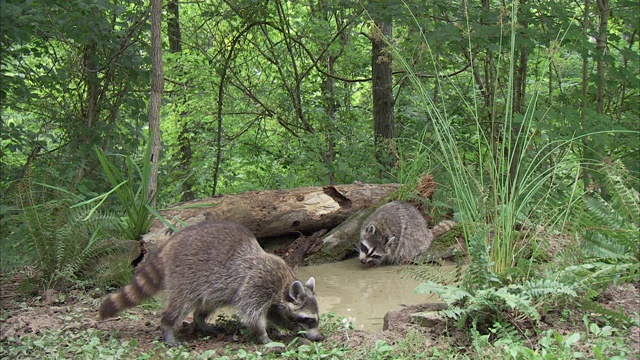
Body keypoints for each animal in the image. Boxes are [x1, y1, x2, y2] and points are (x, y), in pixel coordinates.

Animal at [99, 221, 324, 344]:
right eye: (309, 319)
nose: (319, 336)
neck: (284, 284)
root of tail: (168, 245)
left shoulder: (272, 298)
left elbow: (274, 314)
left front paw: (293, 329)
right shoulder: (257, 283)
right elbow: (251, 314)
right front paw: (264, 336)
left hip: (212, 285)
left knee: (208, 303)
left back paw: (201, 321)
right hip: (184, 274)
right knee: (180, 304)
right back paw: (168, 326)